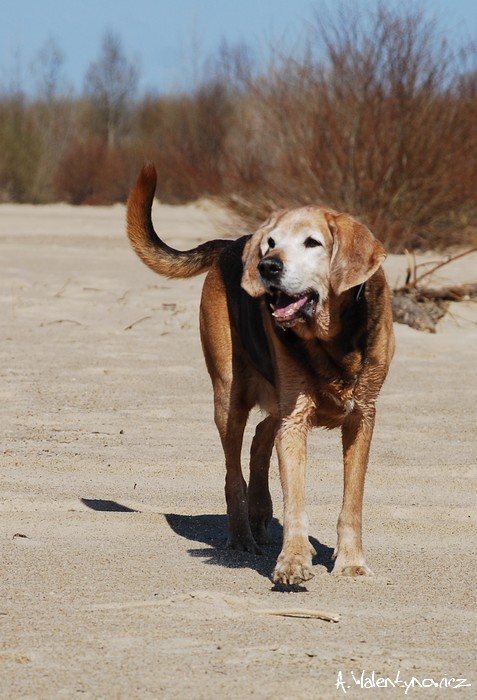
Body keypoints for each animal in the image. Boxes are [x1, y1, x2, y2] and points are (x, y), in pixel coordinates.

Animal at [126, 164, 394, 584]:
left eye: (313, 243)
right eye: (271, 243)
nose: (268, 266)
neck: (331, 338)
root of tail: (231, 244)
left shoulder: (362, 417)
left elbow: (352, 502)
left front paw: (351, 561)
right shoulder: (295, 418)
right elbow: (295, 500)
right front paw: (294, 560)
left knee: (259, 438)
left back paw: (260, 512)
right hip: (229, 397)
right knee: (233, 471)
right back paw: (242, 536)